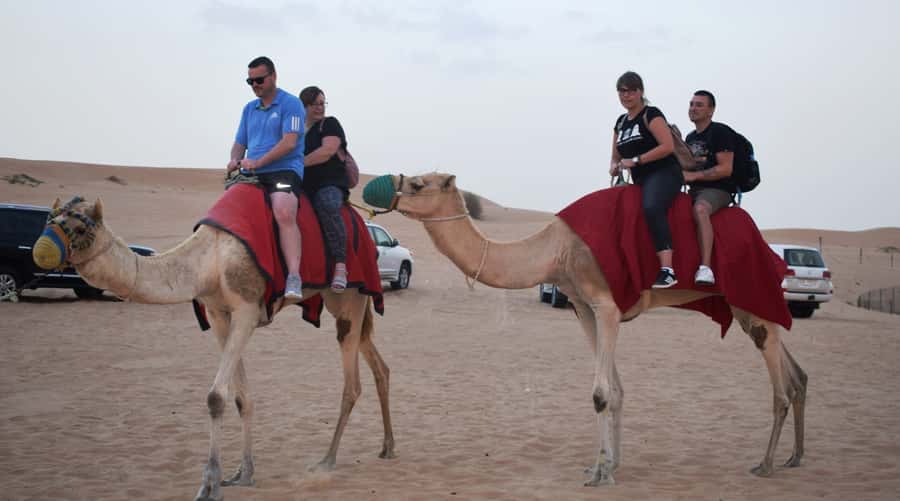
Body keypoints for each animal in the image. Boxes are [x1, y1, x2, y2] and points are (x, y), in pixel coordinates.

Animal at [32, 197, 395, 501]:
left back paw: (327, 461)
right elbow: (241, 397)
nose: (40, 249)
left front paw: (209, 485)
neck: (210, 259)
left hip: (351, 297)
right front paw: (242, 474)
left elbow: (216, 397)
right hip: (342, 304)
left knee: (352, 384)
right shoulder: (219, 313)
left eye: (79, 226)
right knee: (379, 365)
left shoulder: (247, 309)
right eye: (51, 219)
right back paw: (388, 447)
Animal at [365, 172, 806, 486]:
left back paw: (766, 464)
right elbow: (617, 390)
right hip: (748, 308)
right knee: (796, 372)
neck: (554, 250)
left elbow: (599, 394)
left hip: (749, 296)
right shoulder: (582, 308)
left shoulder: (606, 305)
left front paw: (599, 473)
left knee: (779, 386)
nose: (381, 189)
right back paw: (795, 457)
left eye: (418, 183)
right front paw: (610, 464)